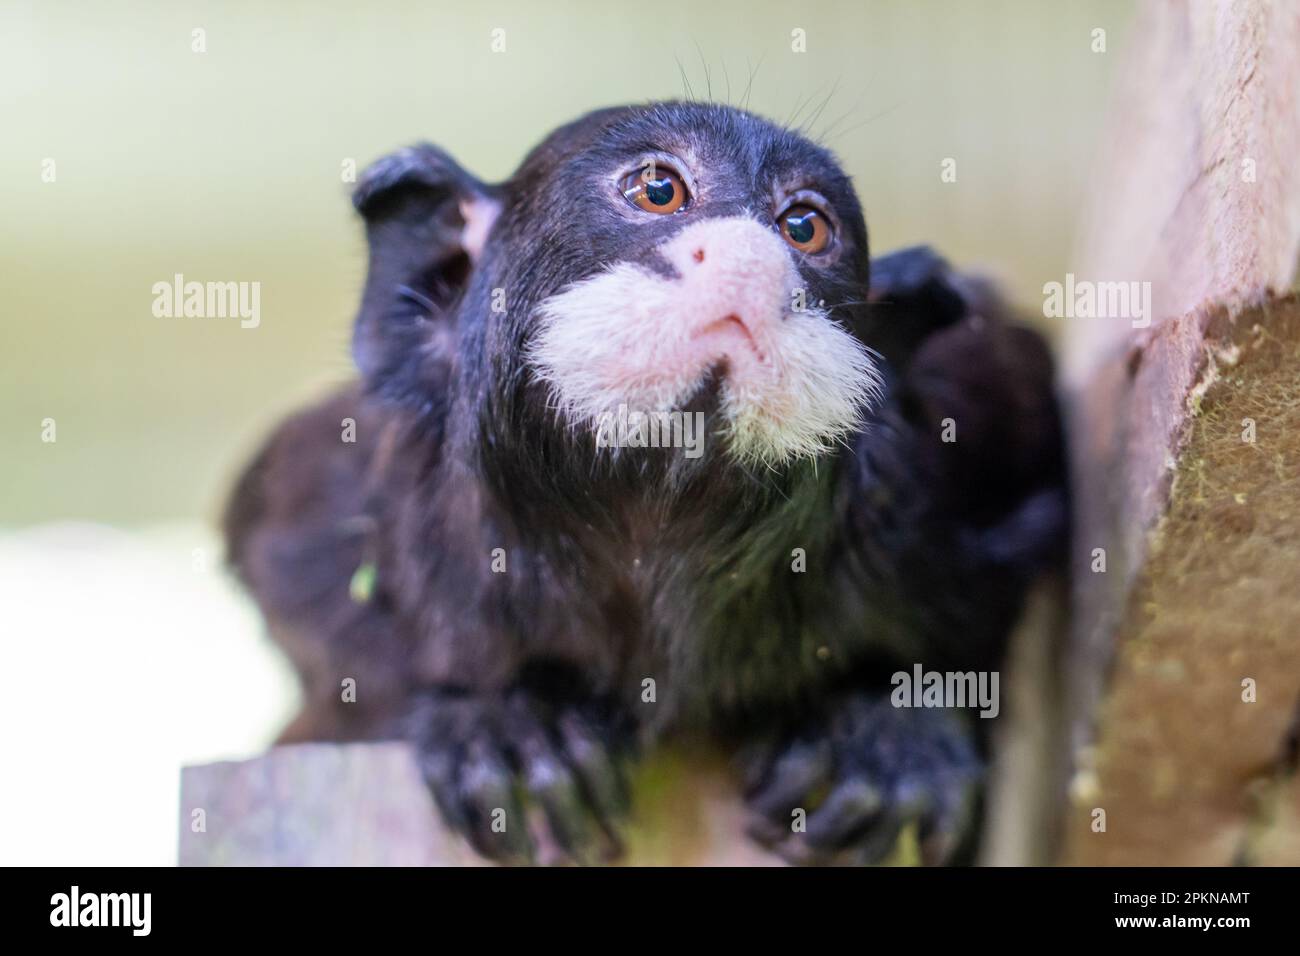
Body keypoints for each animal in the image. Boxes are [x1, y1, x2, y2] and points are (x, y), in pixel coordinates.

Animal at [228, 102, 1071, 868]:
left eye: (803, 227)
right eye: (660, 190)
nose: (750, 257)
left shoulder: (968, 443)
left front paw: (879, 731)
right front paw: (510, 719)